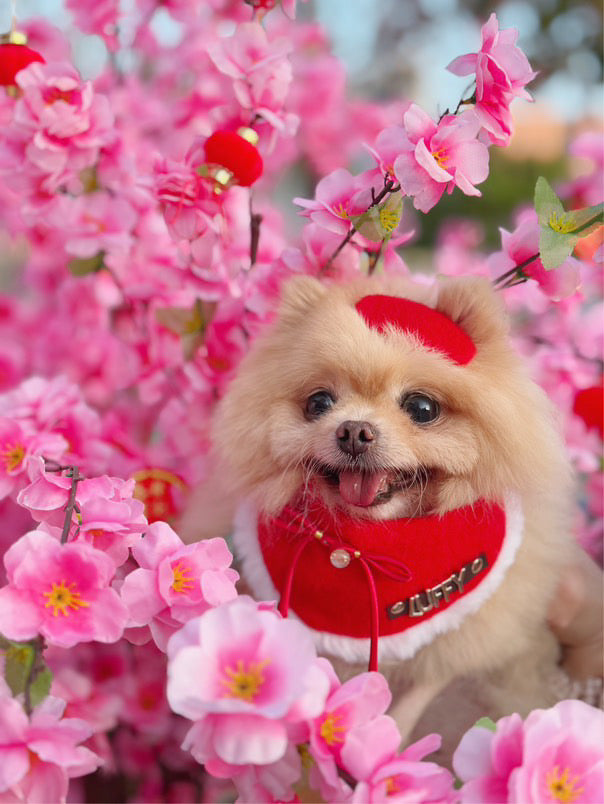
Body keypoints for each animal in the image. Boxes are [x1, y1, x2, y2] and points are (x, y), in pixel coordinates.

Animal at [178, 276, 576, 752]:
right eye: (318, 403)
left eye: (422, 408)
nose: (353, 430)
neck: (366, 543)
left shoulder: (478, 627)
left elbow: (427, 684)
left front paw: (392, 739)